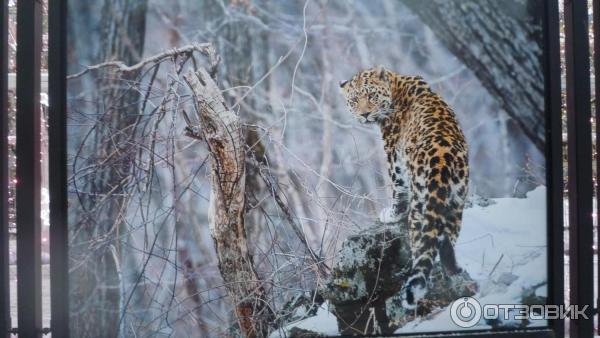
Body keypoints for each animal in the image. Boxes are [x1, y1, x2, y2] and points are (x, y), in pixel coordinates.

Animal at [340, 65, 472, 308]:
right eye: (354, 100)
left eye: (371, 96)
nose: (364, 114)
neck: (396, 84)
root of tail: (442, 164)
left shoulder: (395, 160)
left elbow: (398, 192)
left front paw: (390, 215)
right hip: (457, 202)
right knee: (447, 242)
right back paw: (453, 273)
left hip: (421, 207)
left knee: (424, 248)